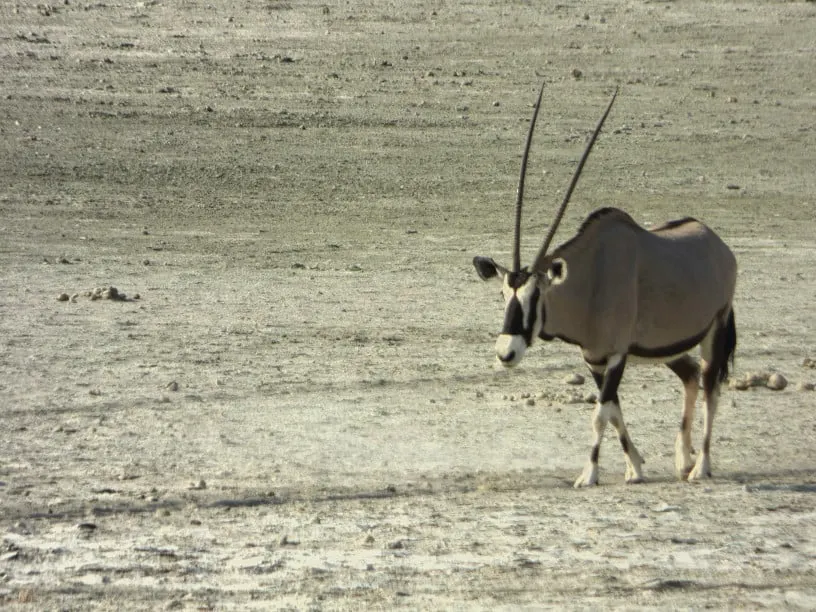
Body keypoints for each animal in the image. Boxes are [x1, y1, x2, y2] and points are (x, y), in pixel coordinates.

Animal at [472, 86, 740, 488]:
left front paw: (590, 474)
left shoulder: (615, 356)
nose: (507, 353)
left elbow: (599, 414)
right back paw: (682, 459)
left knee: (711, 388)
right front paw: (635, 467)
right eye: (504, 293)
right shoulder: (595, 359)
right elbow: (612, 410)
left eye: (537, 294)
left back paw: (700, 466)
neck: (590, 281)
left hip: (715, 331)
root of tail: (717, 244)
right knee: (691, 377)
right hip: (669, 347)